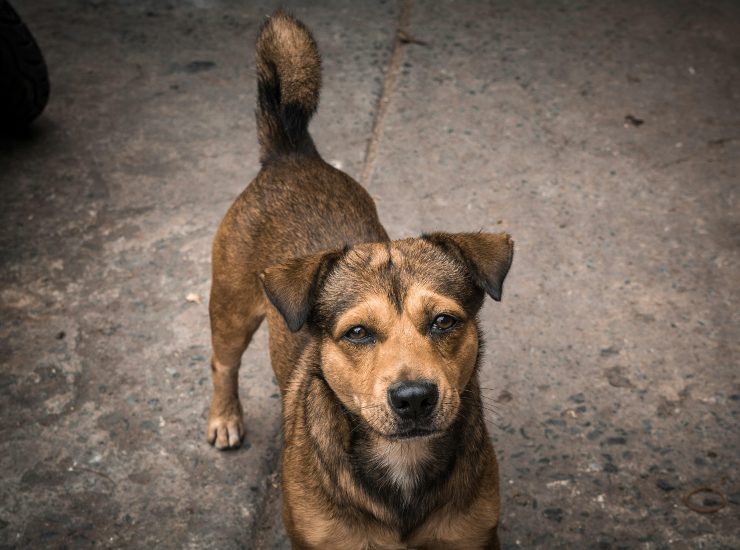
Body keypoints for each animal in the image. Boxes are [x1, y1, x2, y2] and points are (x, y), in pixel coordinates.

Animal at [205, 9, 512, 550]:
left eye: (444, 322)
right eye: (358, 333)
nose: (414, 399)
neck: (402, 465)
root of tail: (291, 153)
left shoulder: (475, 536)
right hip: (231, 306)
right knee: (223, 362)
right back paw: (225, 416)